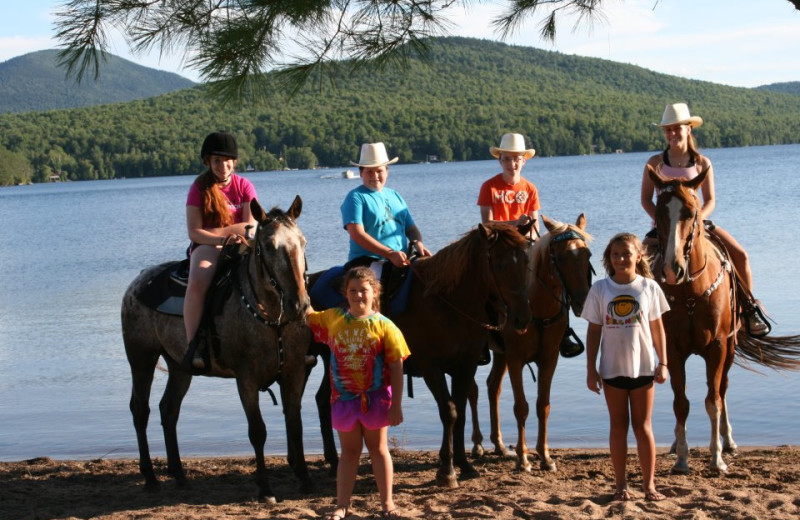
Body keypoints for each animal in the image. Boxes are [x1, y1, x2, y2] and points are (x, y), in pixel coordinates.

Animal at [122, 197, 312, 502]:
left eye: (302, 242)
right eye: (269, 246)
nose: (299, 305)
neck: (272, 319)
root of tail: (138, 281)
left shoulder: (293, 373)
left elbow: (295, 424)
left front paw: (305, 480)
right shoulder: (246, 379)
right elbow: (257, 431)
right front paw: (265, 488)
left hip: (179, 366)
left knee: (168, 410)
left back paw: (179, 475)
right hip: (141, 359)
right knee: (141, 410)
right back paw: (150, 477)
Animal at [310, 222, 532, 488]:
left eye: (526, 260)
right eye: (499, 264)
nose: (522, 318)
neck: (446, 303)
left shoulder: (464, 366)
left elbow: (460, 412)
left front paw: (464, 464)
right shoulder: (430, 367)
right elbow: (449, 411)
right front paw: (447, 470)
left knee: (322, 399)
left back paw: (333, 462)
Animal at [468, 213, 592, 474]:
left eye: (587, 254)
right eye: (561, 257)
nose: (583, 302)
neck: (537, 308)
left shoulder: (549, 359)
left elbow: (542, 405)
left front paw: (545, 456)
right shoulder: (516, 359)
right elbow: (521, 407)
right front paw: (523, 459)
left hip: (501, 354)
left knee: (493, 387)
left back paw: (499, 443)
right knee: (472, 390)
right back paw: (477, 443)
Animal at [648, 169, 800, 474]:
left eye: (691, 211)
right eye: (659, 212)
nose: (672, 269)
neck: (690, 293)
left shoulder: (717, 347)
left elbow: (714, 400)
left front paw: (717, 457)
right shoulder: (674, 350)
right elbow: (681, 404)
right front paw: (682, 459)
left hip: (730, 348)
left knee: (723, 389)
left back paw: (728, 440)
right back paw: (675, 445)